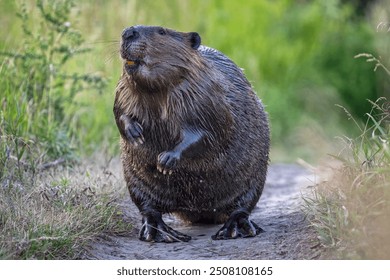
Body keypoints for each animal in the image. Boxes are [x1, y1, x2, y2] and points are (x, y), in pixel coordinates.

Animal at [114, 25, 270, 242]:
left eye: (161, 31)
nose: (128, 32)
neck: (157, 93)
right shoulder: (124, 87)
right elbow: (119, 110)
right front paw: (135, 133)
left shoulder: (205, 95)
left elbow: (206, 133)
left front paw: (166, 160)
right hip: (134, 180)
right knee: (148, 209)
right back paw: (158, 232)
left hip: (255, 177)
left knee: (243, 206)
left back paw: (234, 229)